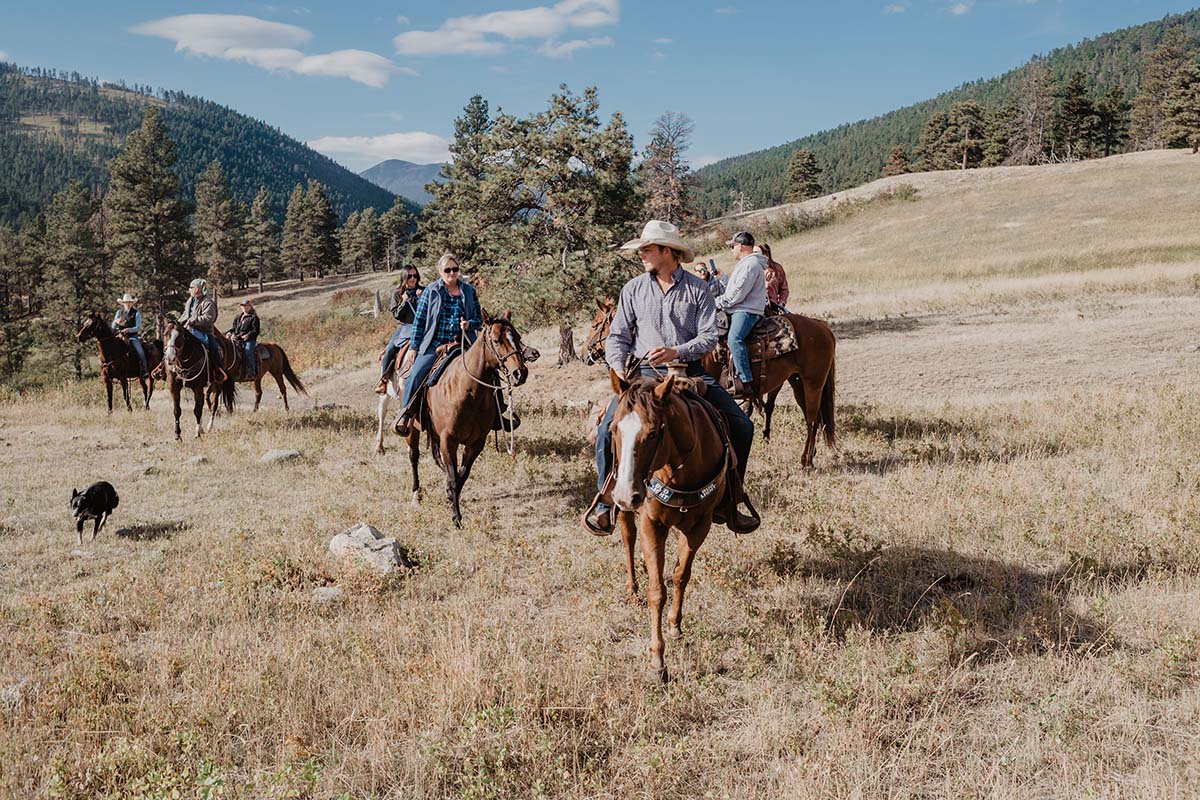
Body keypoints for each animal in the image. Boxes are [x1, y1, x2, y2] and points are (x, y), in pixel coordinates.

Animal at [405, 314, 532, 532]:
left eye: (517, 337)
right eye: (496, 341)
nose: (520, 373)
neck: (468, 390)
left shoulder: (476, 442)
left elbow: (461, 475)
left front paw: (451, 497)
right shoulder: (449, 440)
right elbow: (454, 477)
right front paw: (456, 517)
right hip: (412, 429)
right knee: (414, 456)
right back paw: (416, 495)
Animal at [604, 371, 724, 686]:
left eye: (653, 432)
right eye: (614, 429)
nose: (627, 494)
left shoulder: (699, 526)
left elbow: (681, 575)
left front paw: (675, 625)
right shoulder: (651, 524)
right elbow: (657, 590)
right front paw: (658, 662)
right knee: (628, 538)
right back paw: (632, 587)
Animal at [700, 311, 835, 465]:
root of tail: (821, 324)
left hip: (814, 384)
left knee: (812, 420)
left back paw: (806, 460)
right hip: (798, 384)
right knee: (812, 417)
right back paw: (810, 456)